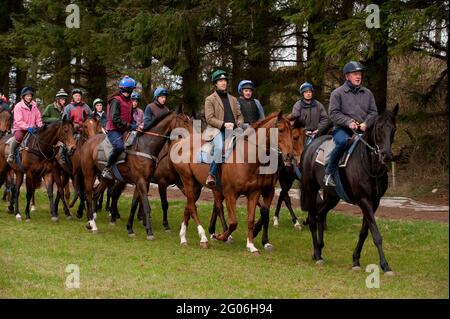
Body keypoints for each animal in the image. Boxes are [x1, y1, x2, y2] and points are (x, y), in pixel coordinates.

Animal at [78, 106, 191, 239]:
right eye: (185, 121)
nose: (193, 137)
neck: (146, 145)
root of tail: (89, 141)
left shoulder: (143, 181)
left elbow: (134, 204)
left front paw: (130, 228)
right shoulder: (148, 181)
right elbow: (147, 204)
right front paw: (150, 231)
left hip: (107, 178)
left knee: (97, 193)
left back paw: (92, 222)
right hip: (89, 174)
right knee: (89, 194)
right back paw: (94, 222)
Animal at [171, 111, 294, 254]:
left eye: (291, 131)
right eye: (281, 130)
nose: (290, 155)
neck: (247, 158)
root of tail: (180, 142)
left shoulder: (256, 193)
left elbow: (253, 218)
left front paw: (251, 245)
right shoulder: (230, 194)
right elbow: (233, 222)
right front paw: (221, 236)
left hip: (196, 185)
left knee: (189, 206)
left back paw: (183, 238)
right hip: (188, 180)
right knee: (193, 207)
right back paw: (203, 238)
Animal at [300, 104, 400, 276]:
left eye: (393, 129)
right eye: (379, 128)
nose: (386, 155)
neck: (369, 166)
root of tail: (310, 146)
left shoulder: (375, 202)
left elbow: (364, 232)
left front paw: (355, 260)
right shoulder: (364, 201)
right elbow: (376, 234)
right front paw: (385, 265)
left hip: (332, 197)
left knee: (321, 214)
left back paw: (319, 248)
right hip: (311, 189)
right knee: (313, 219)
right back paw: (317, 255)